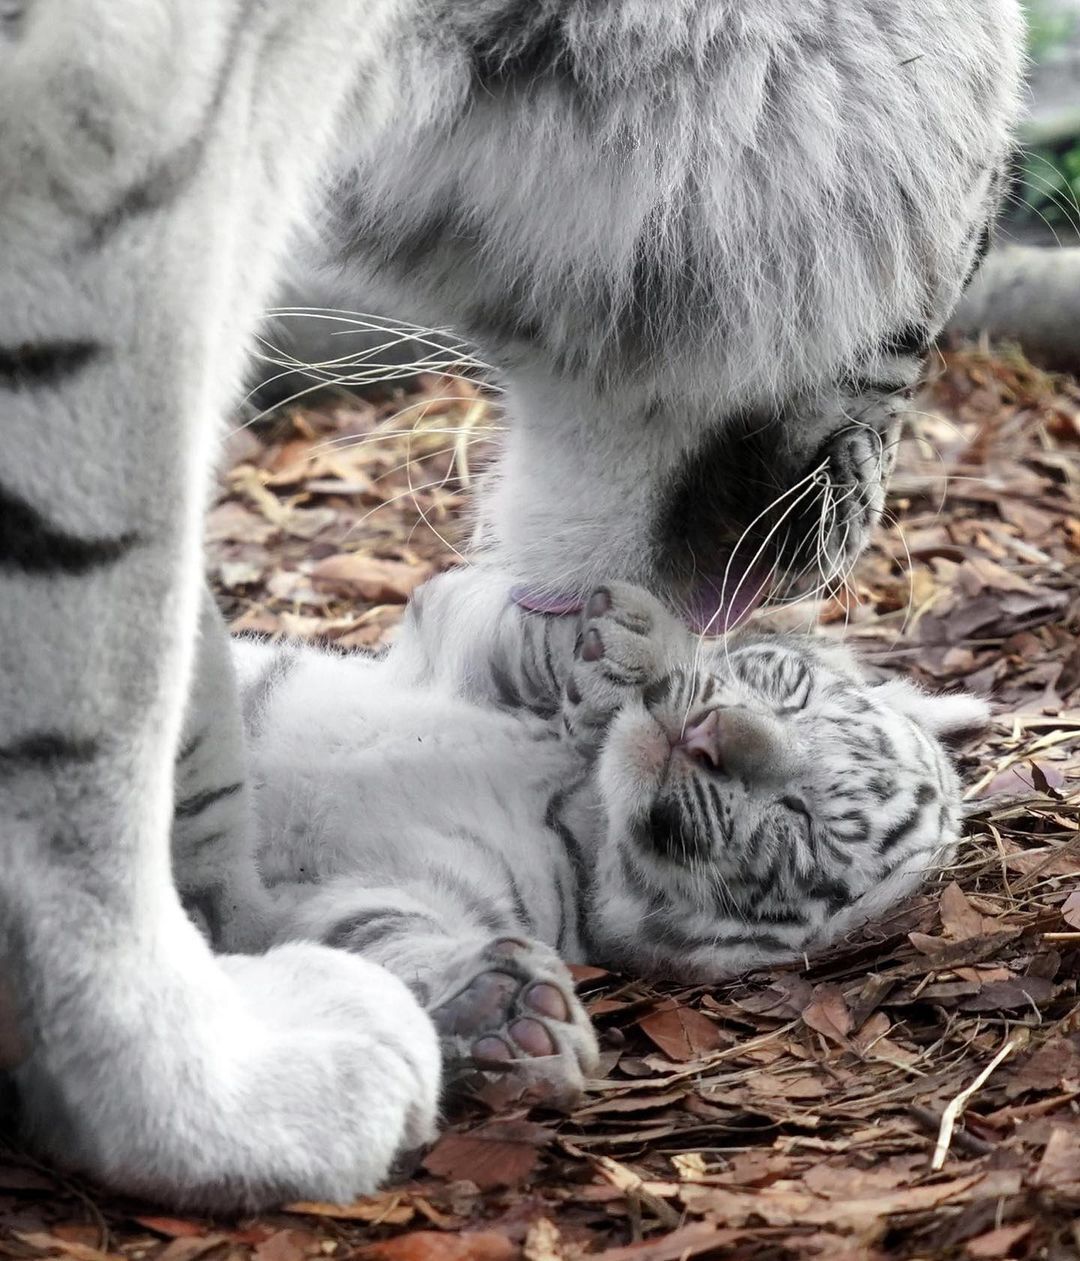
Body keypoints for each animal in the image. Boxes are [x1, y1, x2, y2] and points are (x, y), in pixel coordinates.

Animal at [0, 2, 1024, 1210]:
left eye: (798, 826)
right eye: (784, 687)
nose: (716, 727)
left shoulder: (395, 892)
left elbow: (369, 921)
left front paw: (495, 1018)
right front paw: (621, 647)